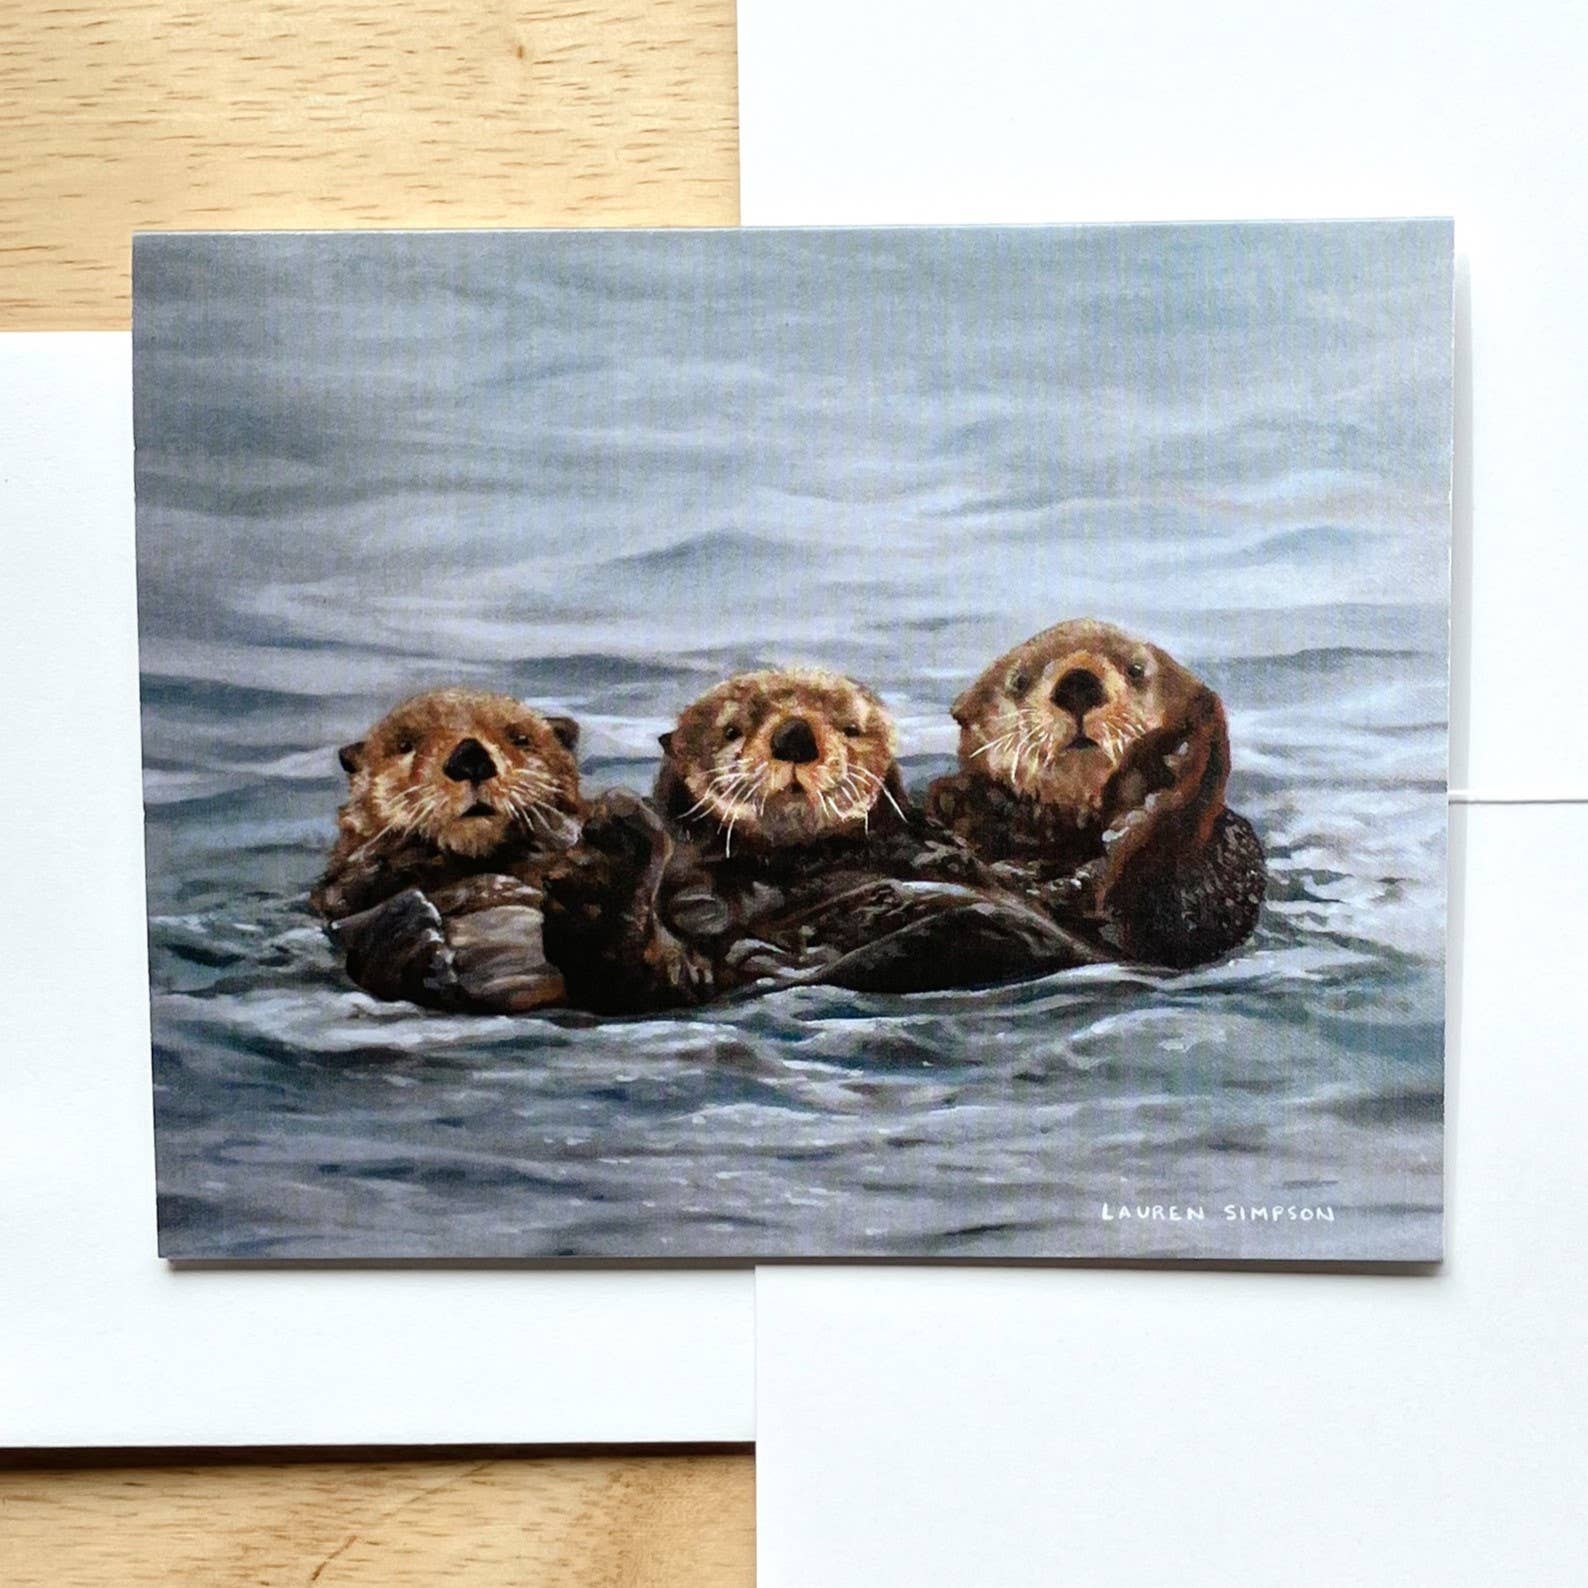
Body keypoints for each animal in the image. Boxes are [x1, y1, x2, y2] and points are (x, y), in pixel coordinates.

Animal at [926, 619, 1266, 968]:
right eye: (1019, 681)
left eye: (1136, 669)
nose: (1078, 683)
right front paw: (964, 801)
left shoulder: (1222, 870)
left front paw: (1166, 764)